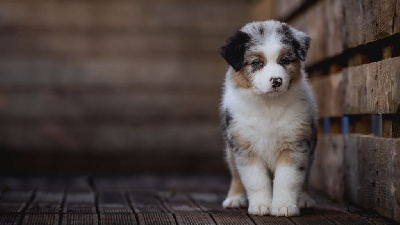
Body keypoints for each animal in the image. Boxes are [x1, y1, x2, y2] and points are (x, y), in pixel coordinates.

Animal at [220, 20, 318, 216]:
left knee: (305, 176)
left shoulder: (295, 144)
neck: (268, 104)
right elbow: (256, 181)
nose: (276, 81)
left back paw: (304, 199)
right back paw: (235, 198)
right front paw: (260, 206)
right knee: (235, 173)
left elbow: (288, 180)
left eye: (285, 61)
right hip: (231, 150)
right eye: (258, 63)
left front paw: (284, 207)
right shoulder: (245, 147)